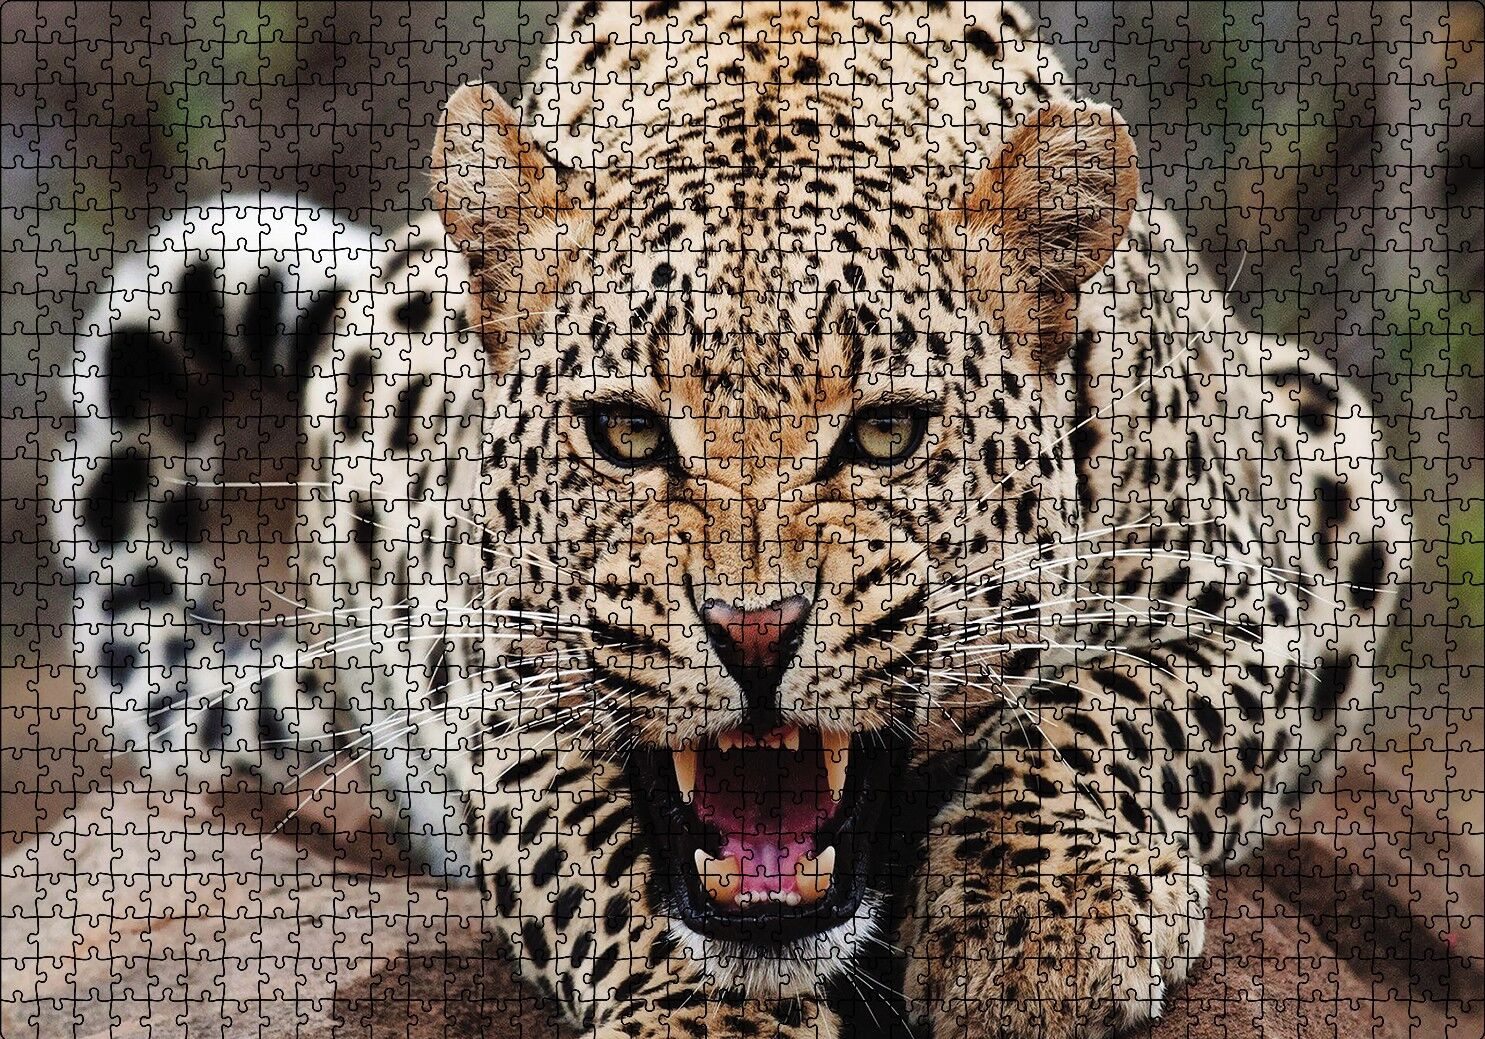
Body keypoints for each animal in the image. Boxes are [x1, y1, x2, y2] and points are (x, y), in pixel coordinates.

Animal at [54, 3, 1409, 1036]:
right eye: (625, 433)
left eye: (885, 433)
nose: (754, 633)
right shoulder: (497, 678)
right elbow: (594, 854)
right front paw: (709, 1016)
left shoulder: (1255, 604)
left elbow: (1107, 713)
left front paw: (1038, 928)